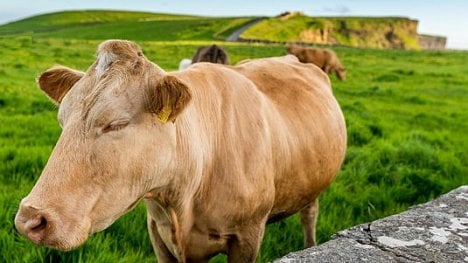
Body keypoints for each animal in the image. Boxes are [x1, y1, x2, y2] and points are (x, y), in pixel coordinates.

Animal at [15, 39, 348, 263]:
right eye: (62, 119)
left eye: (115, 124)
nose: (30, 219)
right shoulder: (157, 234)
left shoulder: (248, 235)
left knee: (309, 215)